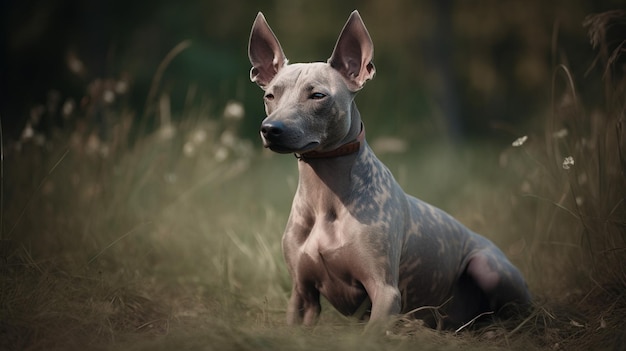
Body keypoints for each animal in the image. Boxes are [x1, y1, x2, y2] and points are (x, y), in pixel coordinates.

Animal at [246, 10, 528, 330]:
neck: (325, 194)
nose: (271, 129)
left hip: (488, 268)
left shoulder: (385, 292)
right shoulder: (302, 294)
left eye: (317, 96)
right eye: (270, 96)